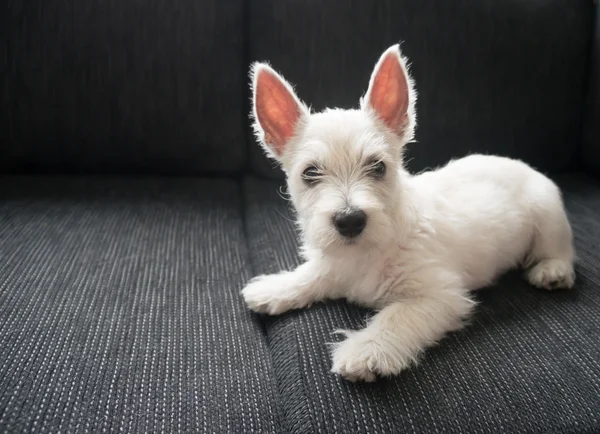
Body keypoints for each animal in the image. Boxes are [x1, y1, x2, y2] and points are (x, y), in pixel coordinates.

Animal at [241, 44, 576, 382]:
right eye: (310, 173)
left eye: (378, 167)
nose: (350, 221)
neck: (365, 252)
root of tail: (520, 163)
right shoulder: (334, 264)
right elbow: (314, 273)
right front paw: (277, 288)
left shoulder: (439, 295)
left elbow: (397, 316)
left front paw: (367, 349)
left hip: (547, 215)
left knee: (560, 249)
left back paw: (553, 271)